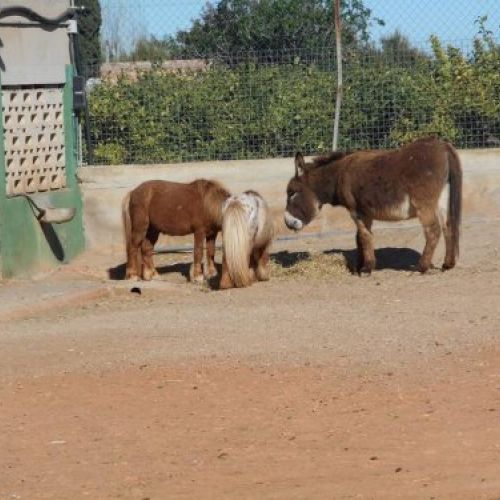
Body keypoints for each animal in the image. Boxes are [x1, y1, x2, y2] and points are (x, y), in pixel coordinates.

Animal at [284, 138, 462, 274]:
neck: (339, 176)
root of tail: (443, 146)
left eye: (292, 193)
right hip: (442, 199)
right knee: (448, 227)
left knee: (433, 230)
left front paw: (366, 268)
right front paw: (359, 265)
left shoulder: (356, 211)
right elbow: (359, 238)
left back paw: (423, 266)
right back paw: (447, 264)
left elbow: (364, 236)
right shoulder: (364, 212)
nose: (286, 222)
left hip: (424, 204)